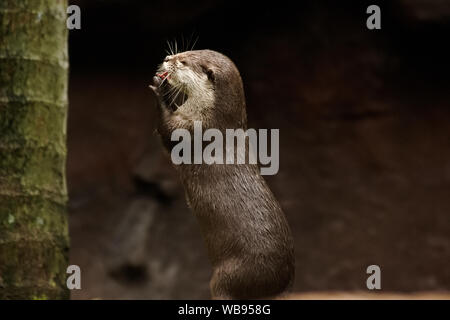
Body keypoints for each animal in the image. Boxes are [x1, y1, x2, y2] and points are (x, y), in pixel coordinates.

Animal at [149, 48, 296, 298]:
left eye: (183, 61)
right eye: (186, 52)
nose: (168, 59)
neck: (215, 120)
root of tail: (283, 281)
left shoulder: (193, 130)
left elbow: (168, 133)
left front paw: (162, 87)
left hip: (230, 276)